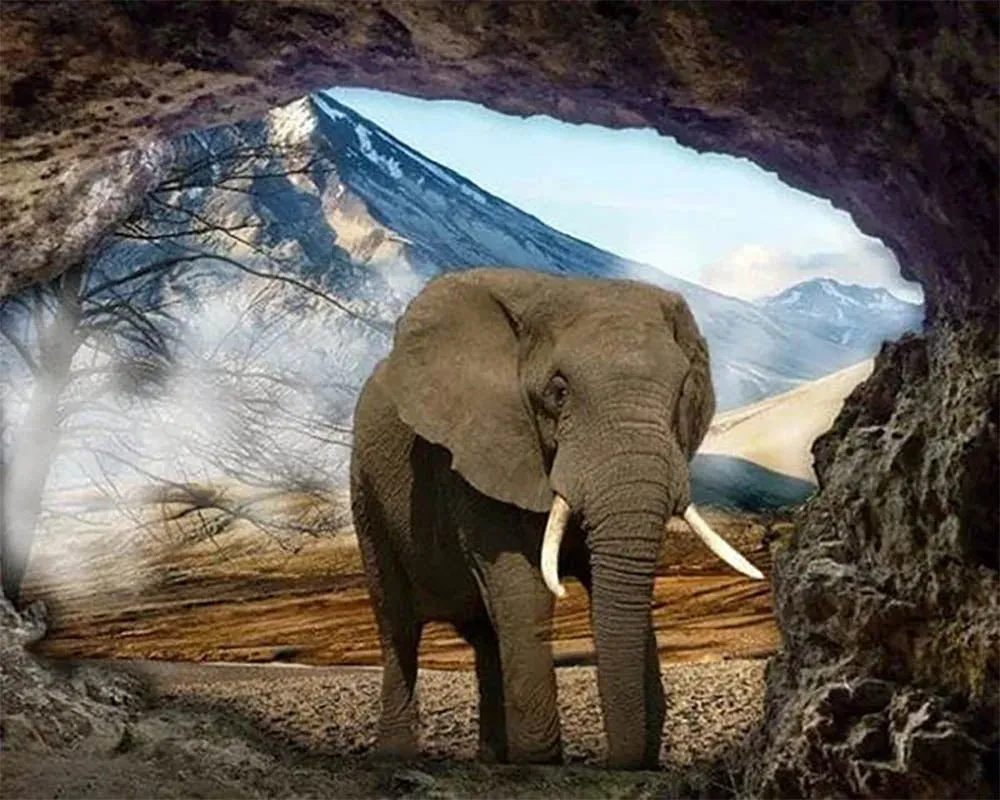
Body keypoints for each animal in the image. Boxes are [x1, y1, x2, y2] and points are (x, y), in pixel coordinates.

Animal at [349, 267, 763, 770]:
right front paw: (540, 762)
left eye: (683, 391)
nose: (619, 763)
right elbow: (523, 592)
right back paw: (397, 757)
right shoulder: (479, 451)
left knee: (486, 638)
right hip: (365, 488)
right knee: (397, 626)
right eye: (558, 393)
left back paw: (493, 761)